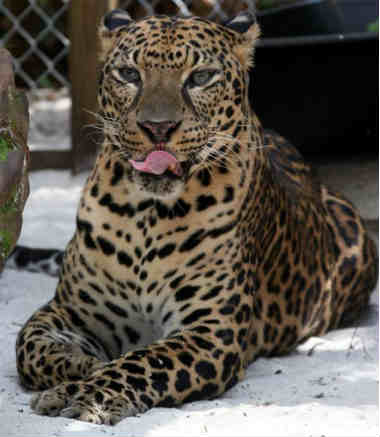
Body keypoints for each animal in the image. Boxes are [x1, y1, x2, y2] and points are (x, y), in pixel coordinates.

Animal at [14, 10, 378, 424]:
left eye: (201, 77)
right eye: (129, 74)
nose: (157, 128)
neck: (145, 216)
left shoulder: (211, 333)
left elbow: (143, 362)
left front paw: (88, 394)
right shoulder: (68, 310)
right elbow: (28, 346)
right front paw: (84, 365)